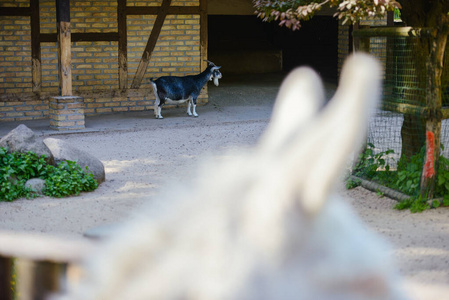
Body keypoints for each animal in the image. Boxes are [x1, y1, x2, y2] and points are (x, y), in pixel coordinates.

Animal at [52, 54, 406, 300]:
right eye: (217, 70)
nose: (222, 78)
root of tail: (153, 78)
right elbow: (193, 106)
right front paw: (194, 116)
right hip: (162, 96)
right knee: (157, 105)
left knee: (155, 105)